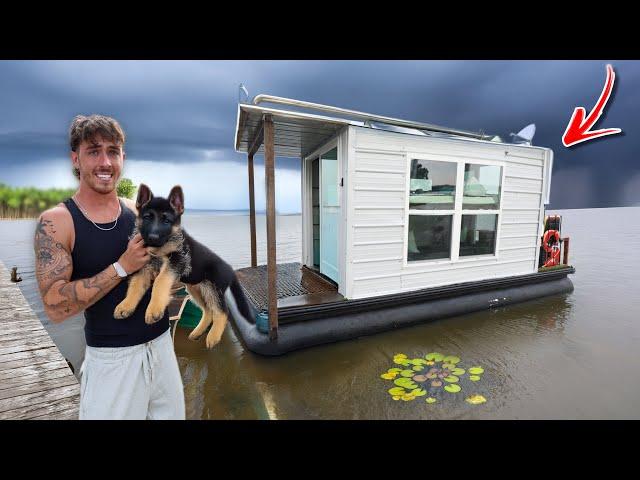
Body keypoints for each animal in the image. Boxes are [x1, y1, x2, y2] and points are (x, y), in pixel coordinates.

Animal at [114, 185, 254, 348]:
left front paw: (154, 308)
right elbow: (135, 286)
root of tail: (230, 270)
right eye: (147, 217)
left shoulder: (177, 260)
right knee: (208, 311)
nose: (153, 238)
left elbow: (160, 281)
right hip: (196, 289)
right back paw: (197, 332)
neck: (159, 247)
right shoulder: (144, 266)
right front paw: (126, 305)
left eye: (166, 220)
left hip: (212, 289)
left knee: (222, 311)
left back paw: (213, 336)